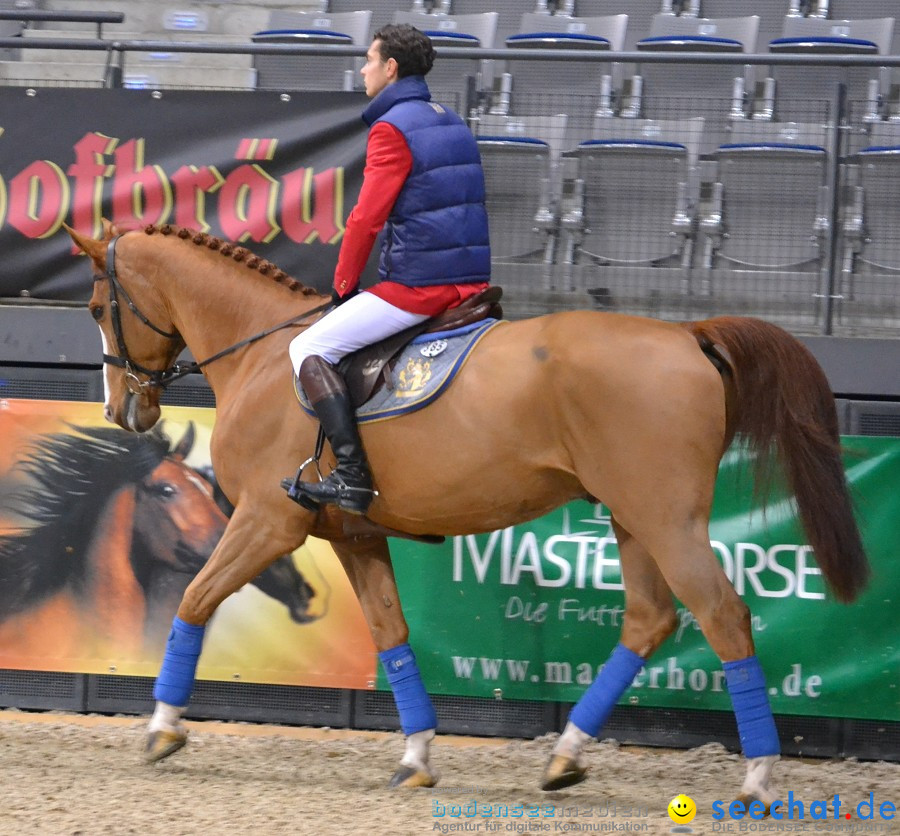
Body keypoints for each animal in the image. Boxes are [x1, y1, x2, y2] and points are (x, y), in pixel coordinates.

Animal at [68, 222, 872, 804]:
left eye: (99, 308)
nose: (123, 410)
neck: (266, 355)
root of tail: (685, 333)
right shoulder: (354, 535)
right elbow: (392, 638)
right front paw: (417, 757)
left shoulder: (267, 521)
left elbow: (196, 602)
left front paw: (162, 729)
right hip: (633, 519)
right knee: (649, 622)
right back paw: (564, 758)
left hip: (668, 522)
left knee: (725, 618)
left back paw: (758, 779)